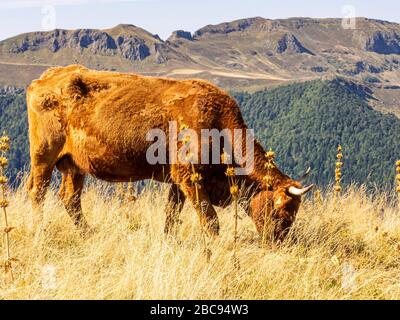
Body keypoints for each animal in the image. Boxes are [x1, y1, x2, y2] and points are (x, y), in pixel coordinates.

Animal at [26, 65, 314, 240]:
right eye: (282, 211)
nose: (280, 241)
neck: (219, 122)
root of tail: (45, 78)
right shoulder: (190, 178)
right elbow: (210, 220)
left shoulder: (179, 181)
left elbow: (171, 216)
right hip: (44, 157)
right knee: (37, 192)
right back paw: (40, 231)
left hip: (74, 166)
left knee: (70, 199)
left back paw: (89, 234)